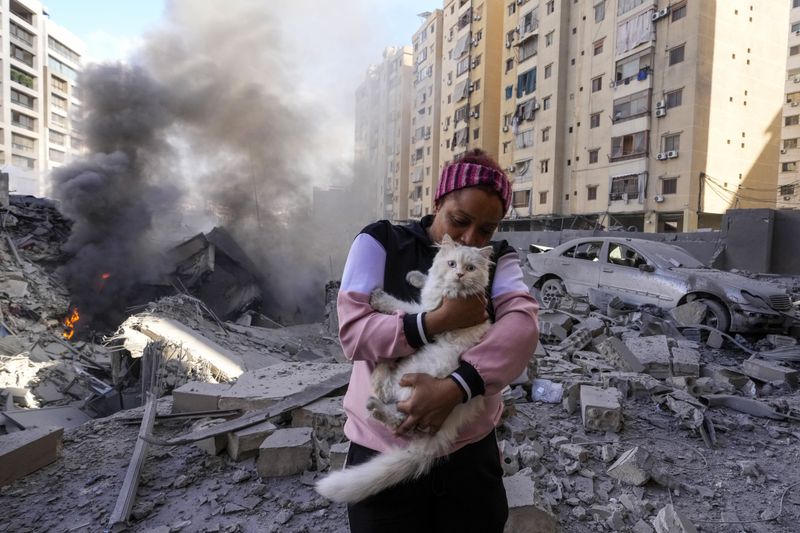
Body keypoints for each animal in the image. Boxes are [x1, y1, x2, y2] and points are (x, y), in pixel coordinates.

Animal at [314, 234, 490, 502]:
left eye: (470, 268)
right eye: (451, 264)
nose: (459, 274)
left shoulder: (426, 312)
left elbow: (404, 308)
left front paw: (380, 298)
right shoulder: (429, 301)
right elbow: (425, 282)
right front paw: (416, 276)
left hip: (414, 386)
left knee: (396, 413)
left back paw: (376, 399)